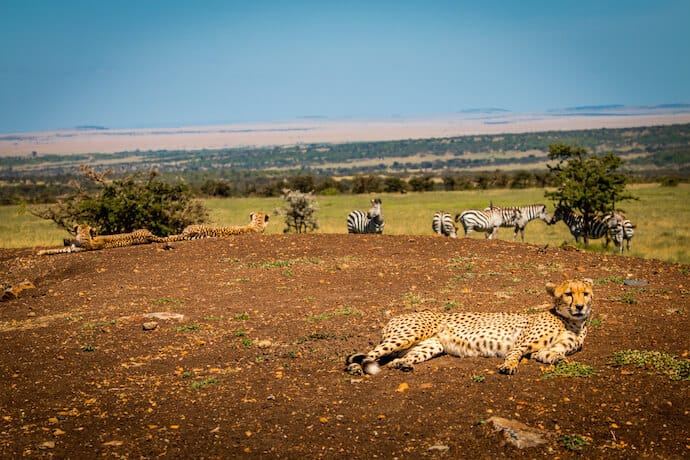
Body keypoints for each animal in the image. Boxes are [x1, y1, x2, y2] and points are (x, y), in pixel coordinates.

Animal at [344, 278, 592, 376]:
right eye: (568, 294)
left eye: (586, 293)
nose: (580, 307)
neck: (572, 322)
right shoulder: (521, 344)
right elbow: (514, 354)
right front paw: (508, 366)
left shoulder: (544, 350)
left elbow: (554, 355)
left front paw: (562, 361)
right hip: (407, 335)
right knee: (369, 354)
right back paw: (355, 368)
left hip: (430, 346)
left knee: (396, 359)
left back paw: (403, 364)